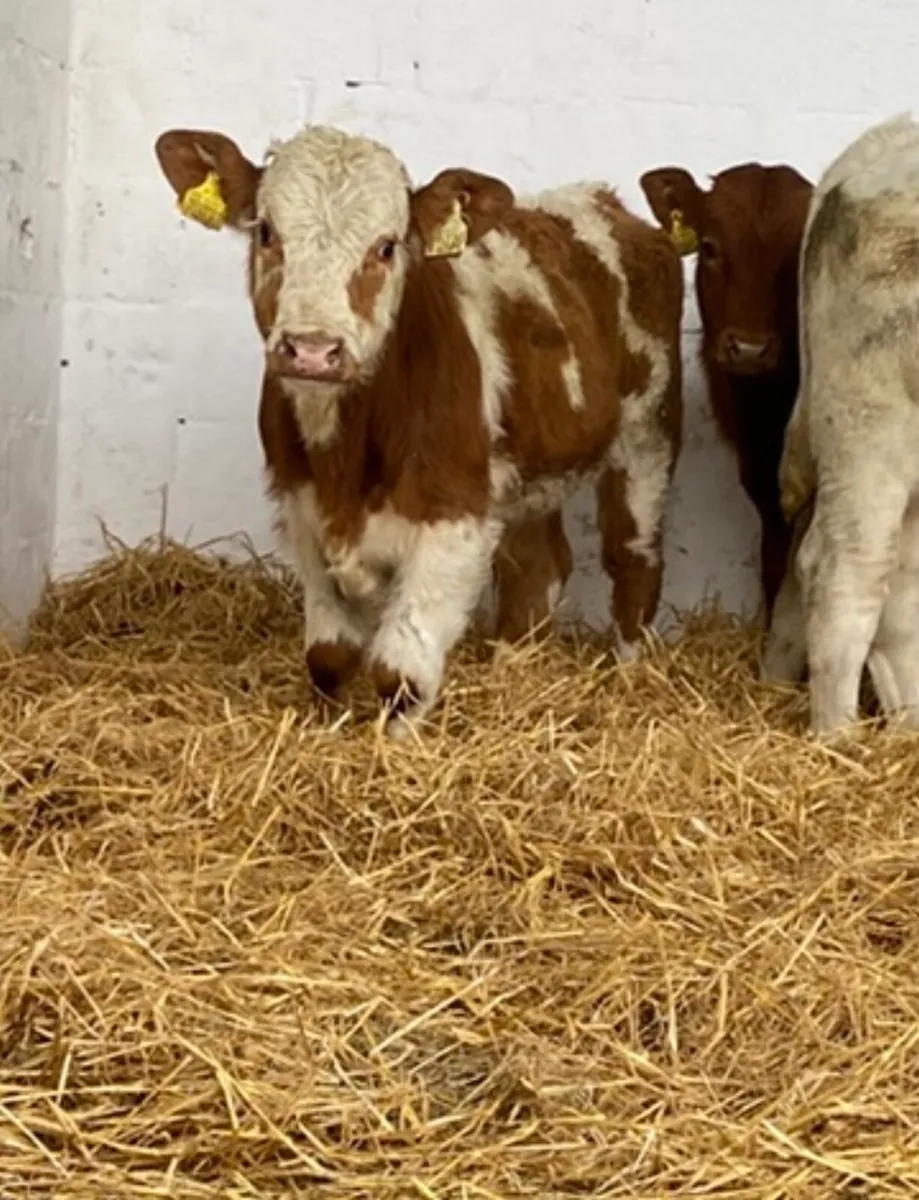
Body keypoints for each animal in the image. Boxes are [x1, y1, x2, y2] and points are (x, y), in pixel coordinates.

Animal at [154, 124, 683, 737]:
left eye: (386, 246)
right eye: (267, 231)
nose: (312, 349)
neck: (345, 459)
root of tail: (601, 199)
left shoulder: (454, 518)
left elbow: (400, 674)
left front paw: (395, 749)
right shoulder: (302, 507)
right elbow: (329, 657)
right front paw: (328, 730)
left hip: (648, 435)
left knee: (634, 558)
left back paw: (629, 673)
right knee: (538, 567)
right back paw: (512, 670)